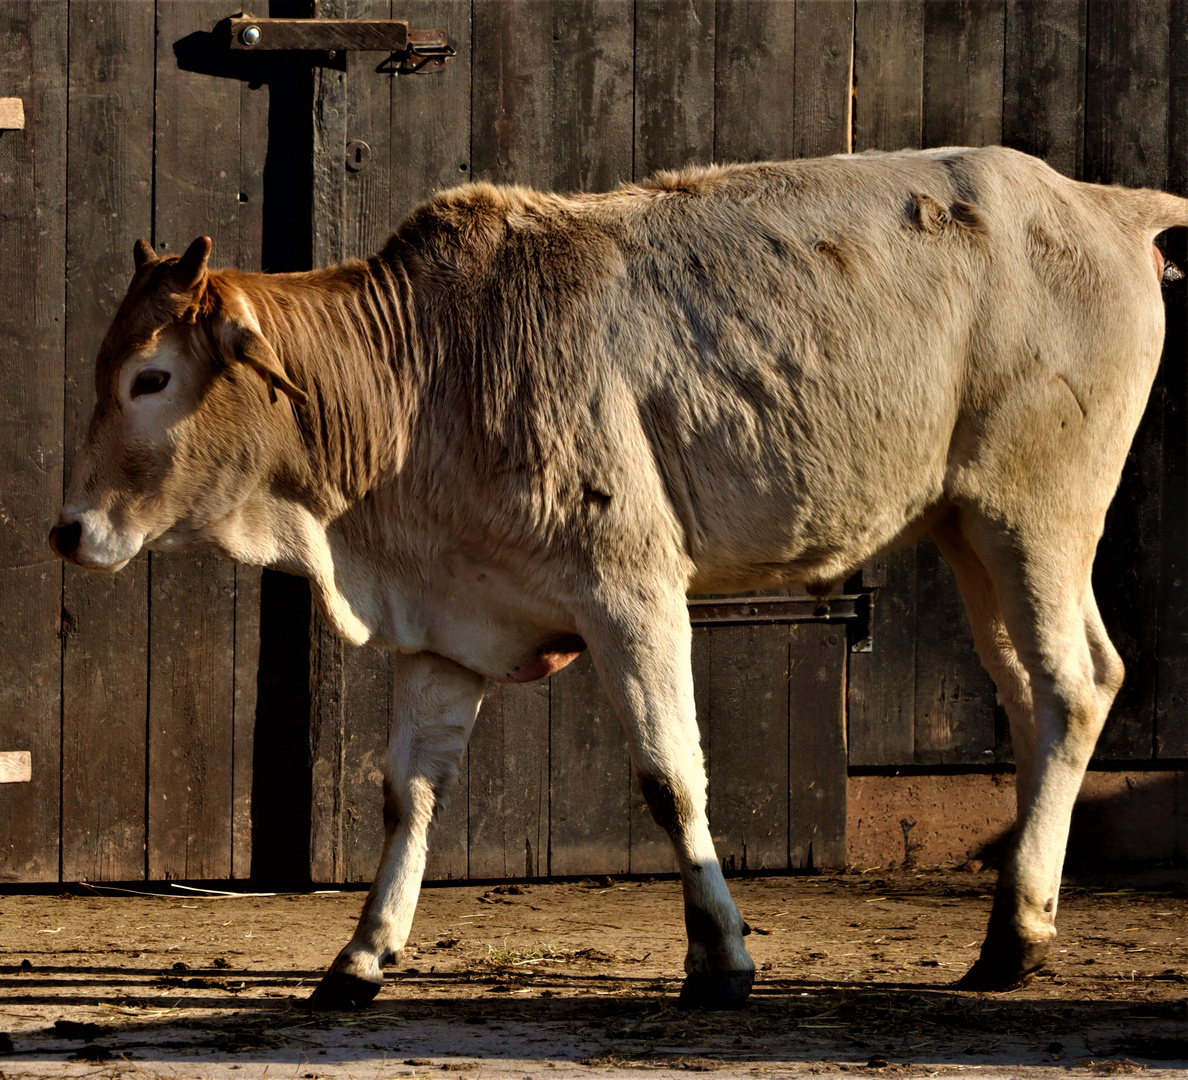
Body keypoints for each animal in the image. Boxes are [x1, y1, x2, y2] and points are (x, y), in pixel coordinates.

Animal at [51, 147, 1183, 1007]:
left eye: (152, 377)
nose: (68, 529)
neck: (429, 375)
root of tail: (1100, 202)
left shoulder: (630, 591)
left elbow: (670, 776)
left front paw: (721, 958)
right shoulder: (445, 626)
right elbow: (409, 794)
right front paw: (363, 954)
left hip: (1036, 513)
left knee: (1077, 683)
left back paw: (1012, 937)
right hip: (966, 527)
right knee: (1030, 696)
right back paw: (1023, 918)